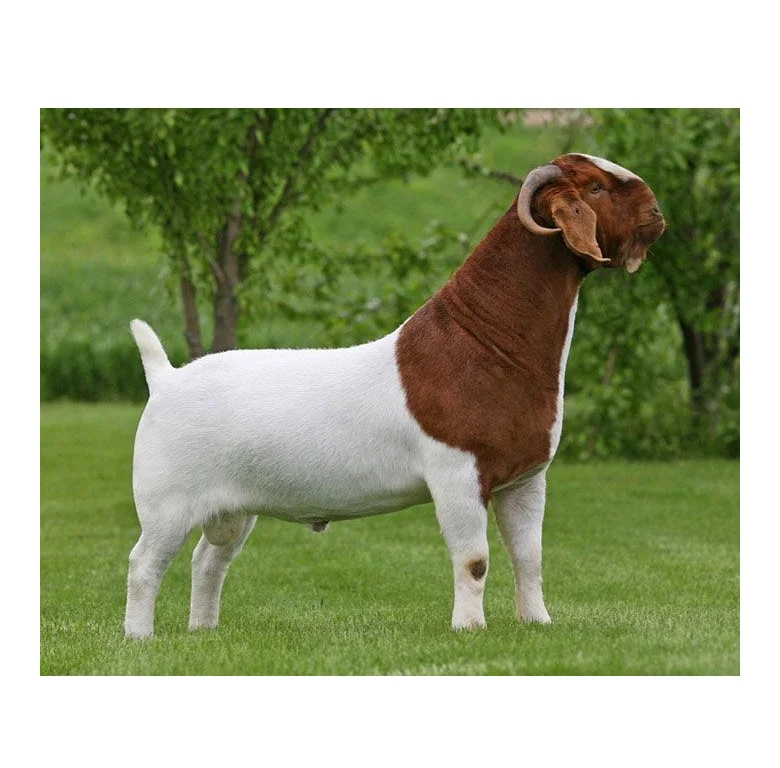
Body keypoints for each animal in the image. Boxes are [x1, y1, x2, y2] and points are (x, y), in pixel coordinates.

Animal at [124, 153, 665, 638]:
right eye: (595, 187)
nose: (657, 213)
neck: (483, 342)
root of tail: (166, 377)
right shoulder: (457, 474)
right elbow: (474, 560)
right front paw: (470, 628)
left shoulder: (526, 479)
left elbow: (529, 557)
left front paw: (537, 623)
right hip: (166, 502)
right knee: (143, 564)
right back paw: (139, 637)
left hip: (233, 508)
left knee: (208, 561)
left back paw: (204, 631)